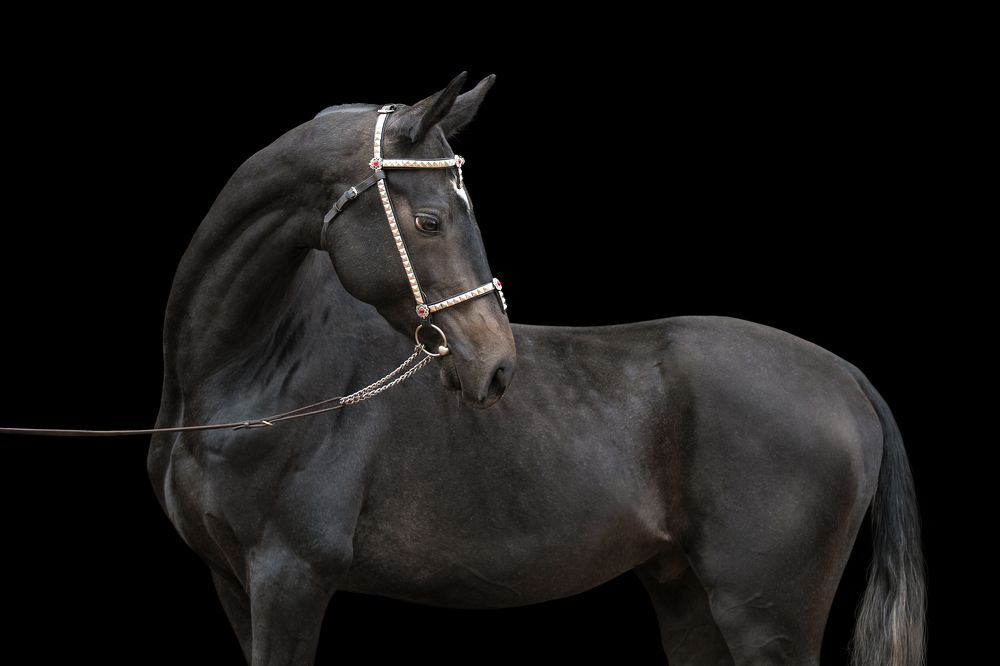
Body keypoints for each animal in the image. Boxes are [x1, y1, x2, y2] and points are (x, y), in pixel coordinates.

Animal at [147, 72, 925, 665]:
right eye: (429, 220)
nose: (496, 366)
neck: (259, 372)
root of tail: (846, 376)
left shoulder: (292, 576)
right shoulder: (236, 583)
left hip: (768, 617)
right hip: (686, 594)